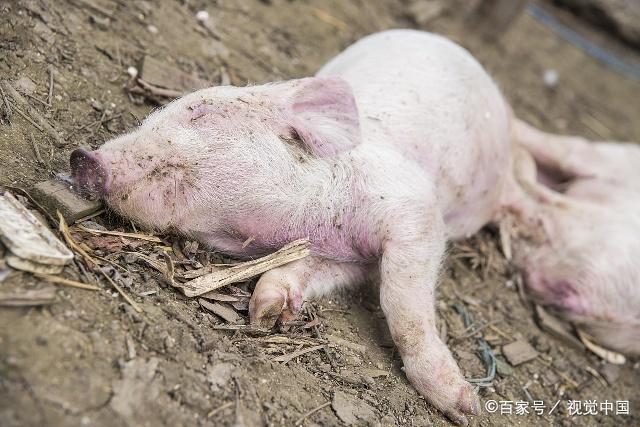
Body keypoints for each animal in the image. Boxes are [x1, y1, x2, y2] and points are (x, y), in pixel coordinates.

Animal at [70, 29, 640, 424]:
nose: (83, 158)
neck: (320, 224)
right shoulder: (348, 258)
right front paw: (267, 311)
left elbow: (403, 302)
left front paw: (464, 407)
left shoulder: (415, 213)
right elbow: (311, 272)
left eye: (198, 113)